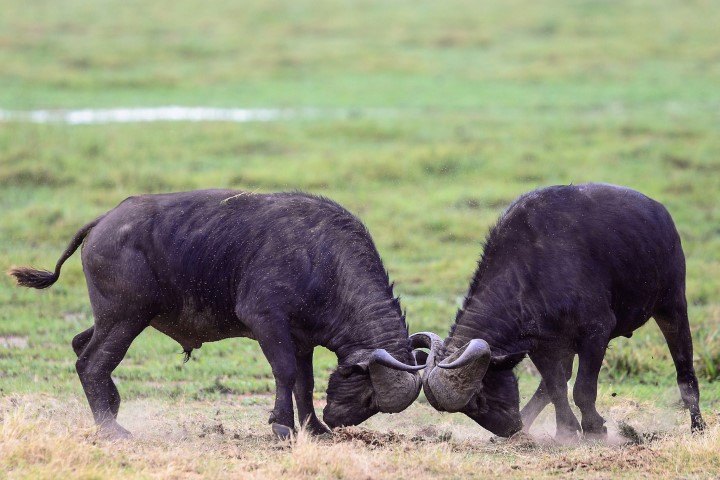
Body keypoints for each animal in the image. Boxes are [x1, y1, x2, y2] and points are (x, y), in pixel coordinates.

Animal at [9, 188, 428, 438]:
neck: (321, 259)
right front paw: (282, 426)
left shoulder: (302, 339)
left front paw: (313, 428)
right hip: (126, 318)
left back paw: (112, 407)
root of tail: (103, 222)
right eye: (371, 394)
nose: (339, 420)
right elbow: (285, 373)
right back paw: (112, 429)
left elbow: (304, 383)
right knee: (91, 363)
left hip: (113, 318)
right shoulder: (267, 321)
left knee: (80, 344)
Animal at [414, 186, 704, 440]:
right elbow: (555, 388)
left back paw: (697, 427)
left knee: (685, 372)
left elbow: (582, 390)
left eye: (478, 398)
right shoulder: (541, 345)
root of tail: (660, 213)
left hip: (672, 305)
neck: (530, 271)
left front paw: (594, 429)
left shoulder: (596, 333)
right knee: (555, 382)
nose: (507, 429)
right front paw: (565, 431)